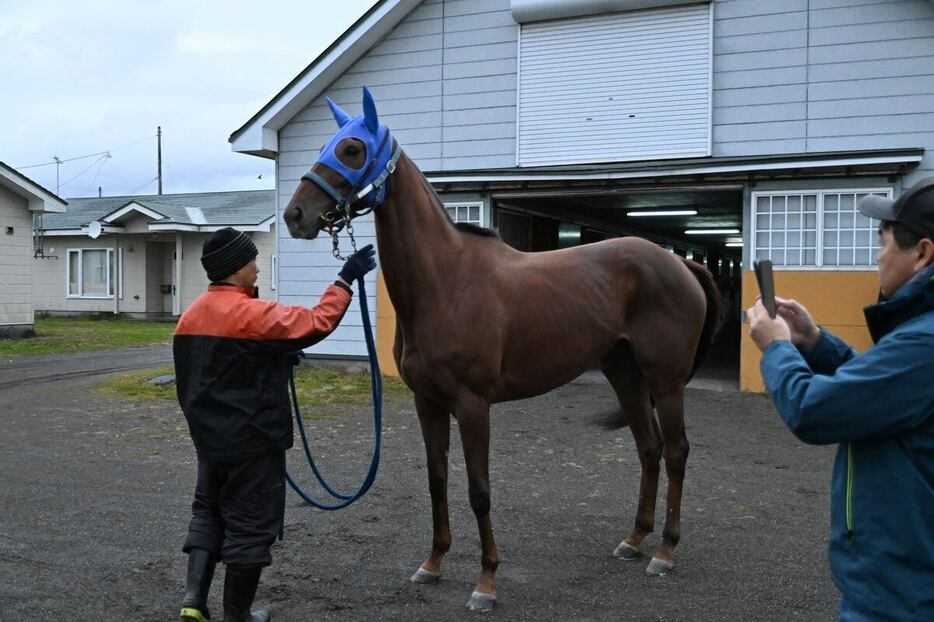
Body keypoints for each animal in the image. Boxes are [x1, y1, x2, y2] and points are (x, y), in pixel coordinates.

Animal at [286, 88, 724, 616]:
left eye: (351, 149)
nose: (295, 216)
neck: (445, 282)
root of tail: (680, 263)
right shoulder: (427, 403)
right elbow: (437, 479)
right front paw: (432, 563)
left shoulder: (473, 406)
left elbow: (479, 491)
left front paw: (486, 582)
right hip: (626, 376)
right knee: (650, 448)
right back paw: (634, 540)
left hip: (666, 380)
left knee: (677, 452)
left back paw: (664, 551)